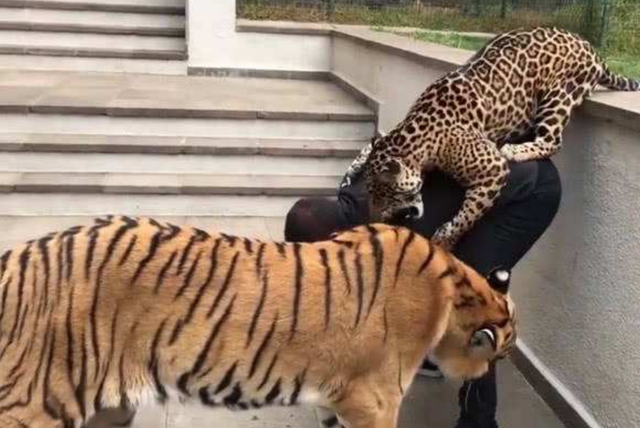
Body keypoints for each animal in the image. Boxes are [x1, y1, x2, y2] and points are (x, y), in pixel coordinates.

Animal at [0, 216, 516, 428]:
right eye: (500, 356)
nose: (484, 376)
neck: (455, 288)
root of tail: (15, 258)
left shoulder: (340, 400)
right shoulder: (374, 401)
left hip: (110, 407)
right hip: (36, 400)